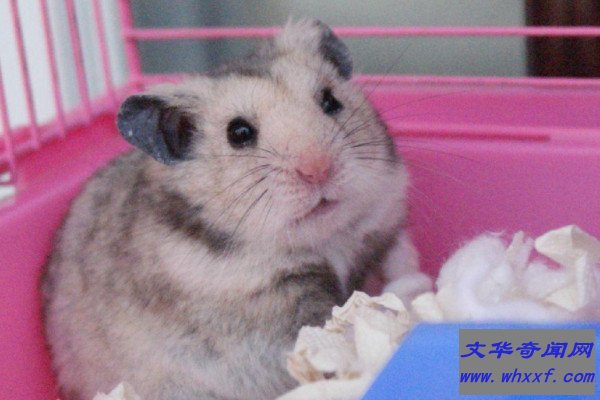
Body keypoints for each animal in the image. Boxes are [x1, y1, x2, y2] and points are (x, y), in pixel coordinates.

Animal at [41, 19, 430, 400]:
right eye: (238, 133)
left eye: (330, 101)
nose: (318, 170)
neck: (328, 240)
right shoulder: (279, 312)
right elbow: (336, 331)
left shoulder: (386, 229)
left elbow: (400, 263)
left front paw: (417, 291)